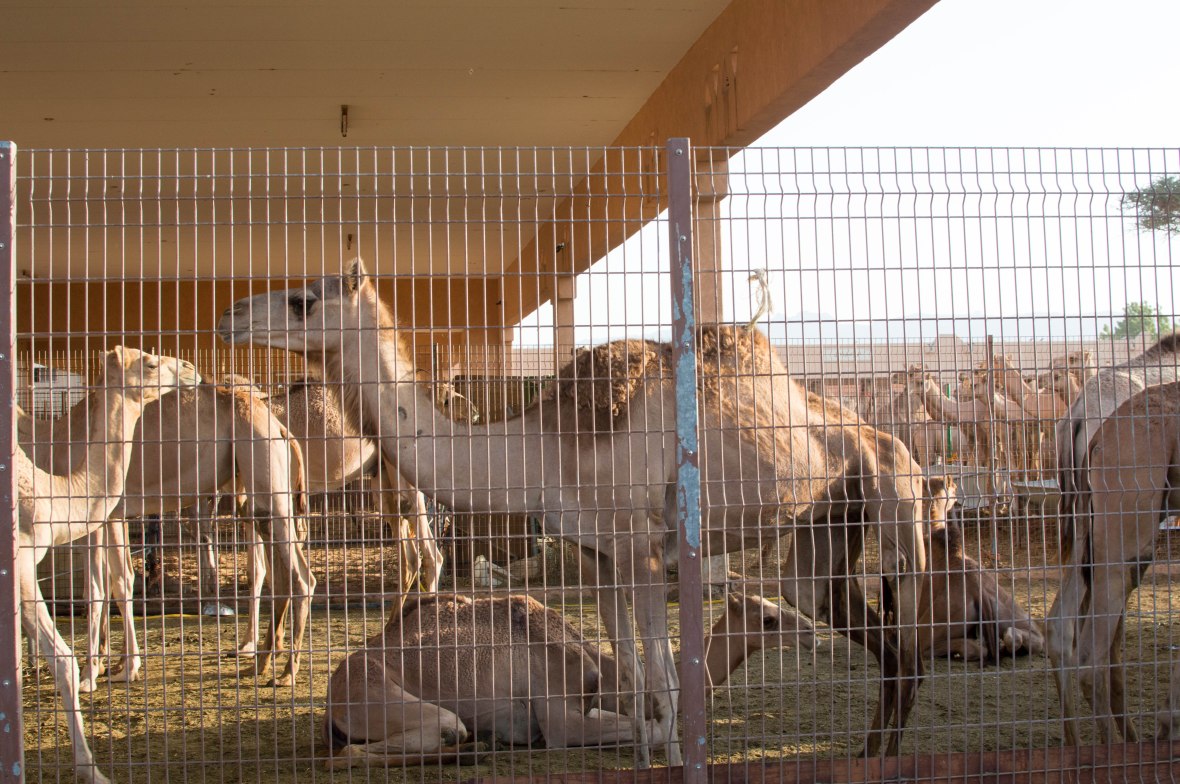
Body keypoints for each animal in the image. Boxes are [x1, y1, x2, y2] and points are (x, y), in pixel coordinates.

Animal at [21, 376, 316, 691]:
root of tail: (281, 429)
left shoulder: (98, 517)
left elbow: (101, 589)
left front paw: (95, 674)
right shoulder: (114, 518)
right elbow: (117, 581)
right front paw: (113, 665)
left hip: (262, 469)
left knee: (301, 577)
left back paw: (286, 672)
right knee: (276, 567)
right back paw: (258, 664)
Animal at [322, 590, 815, 766]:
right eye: (769, 618)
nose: (810, 631)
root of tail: (332, 691)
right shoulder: (560, 710)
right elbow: (650, 729)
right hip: (375, 691)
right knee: (363, 748)